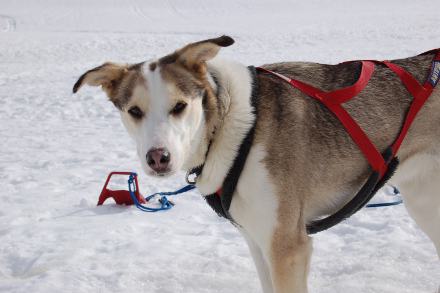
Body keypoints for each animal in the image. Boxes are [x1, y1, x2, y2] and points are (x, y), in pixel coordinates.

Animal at [74, 36, 438, 292]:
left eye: (179, 106)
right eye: (134, 111)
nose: (158, 158)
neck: (231, 128)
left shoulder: (288, 247)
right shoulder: (258, 240)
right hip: (424, 203)